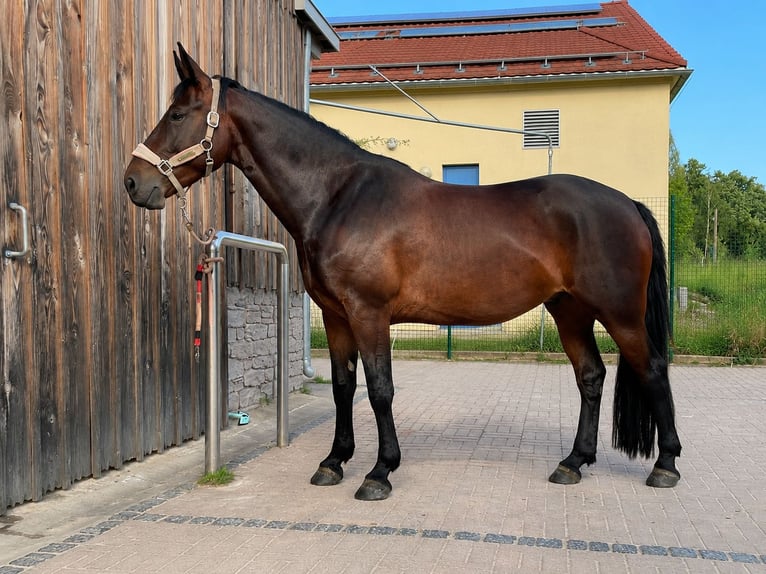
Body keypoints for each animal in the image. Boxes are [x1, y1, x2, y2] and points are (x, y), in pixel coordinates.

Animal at [124, 44, 681, 501]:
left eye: (178, 113)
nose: (133, 182)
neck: (338, 196)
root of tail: (627, 204)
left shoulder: (369, 314)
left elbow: (379, 390)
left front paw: (379, 472)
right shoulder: (337, 317)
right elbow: (343, 388)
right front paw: (334, 462)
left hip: (620, 314)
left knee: (652, 370)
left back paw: (666, 465)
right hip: (570, 311)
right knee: (591, 377)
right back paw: (573, 463)